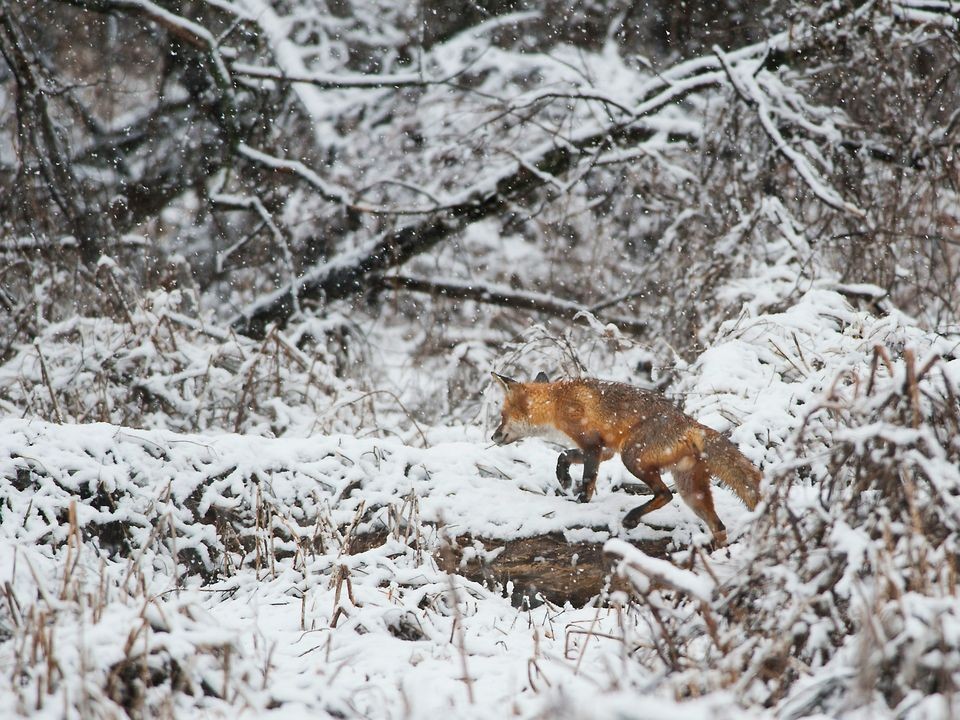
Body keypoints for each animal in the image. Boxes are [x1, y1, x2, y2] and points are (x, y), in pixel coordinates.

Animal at [492, 372, 760, 544]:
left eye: (502, 416)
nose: (493, 436)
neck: (557, 402)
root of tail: (690, 423)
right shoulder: (605, 450)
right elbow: (564, 455)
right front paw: (564, 479)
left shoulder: (592, 445)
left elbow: (588, 479)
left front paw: (580, 503)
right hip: (691, 492)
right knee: (718, 527)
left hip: (633, 459)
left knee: (665, 494)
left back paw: (632, 518)